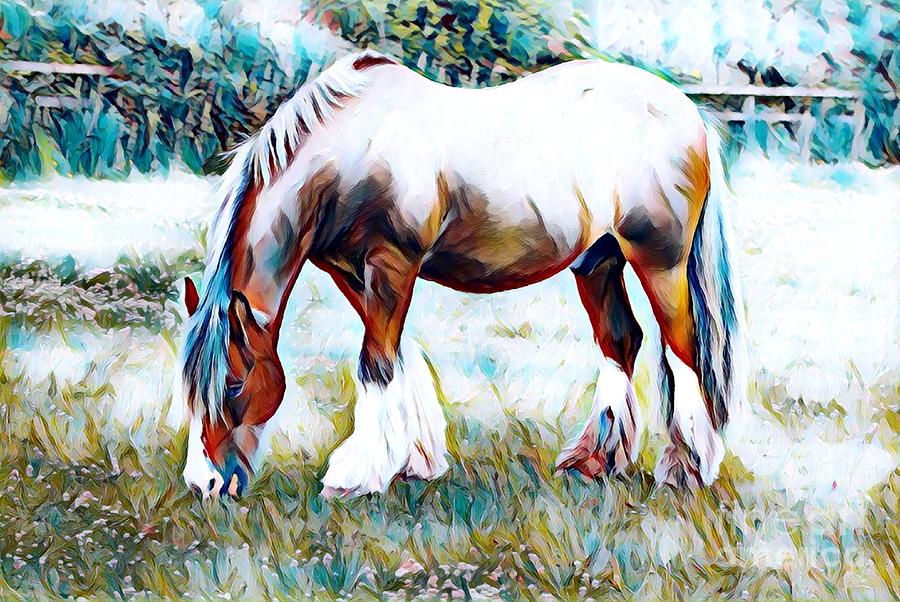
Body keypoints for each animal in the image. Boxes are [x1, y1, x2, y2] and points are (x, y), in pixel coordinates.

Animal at [179, 50, 746, 499]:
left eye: (233, 384)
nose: (204, 483)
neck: (350, 149)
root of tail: (688, 110)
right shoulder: (352, 273)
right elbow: (394, 357)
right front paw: (415, 461)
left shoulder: (392, 263)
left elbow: (375, 363)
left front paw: (356, 476)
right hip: (599, 260)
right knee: (621, 342)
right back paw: (593, 462)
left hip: (660, 260)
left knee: (684, 349)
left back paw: (687, 470)